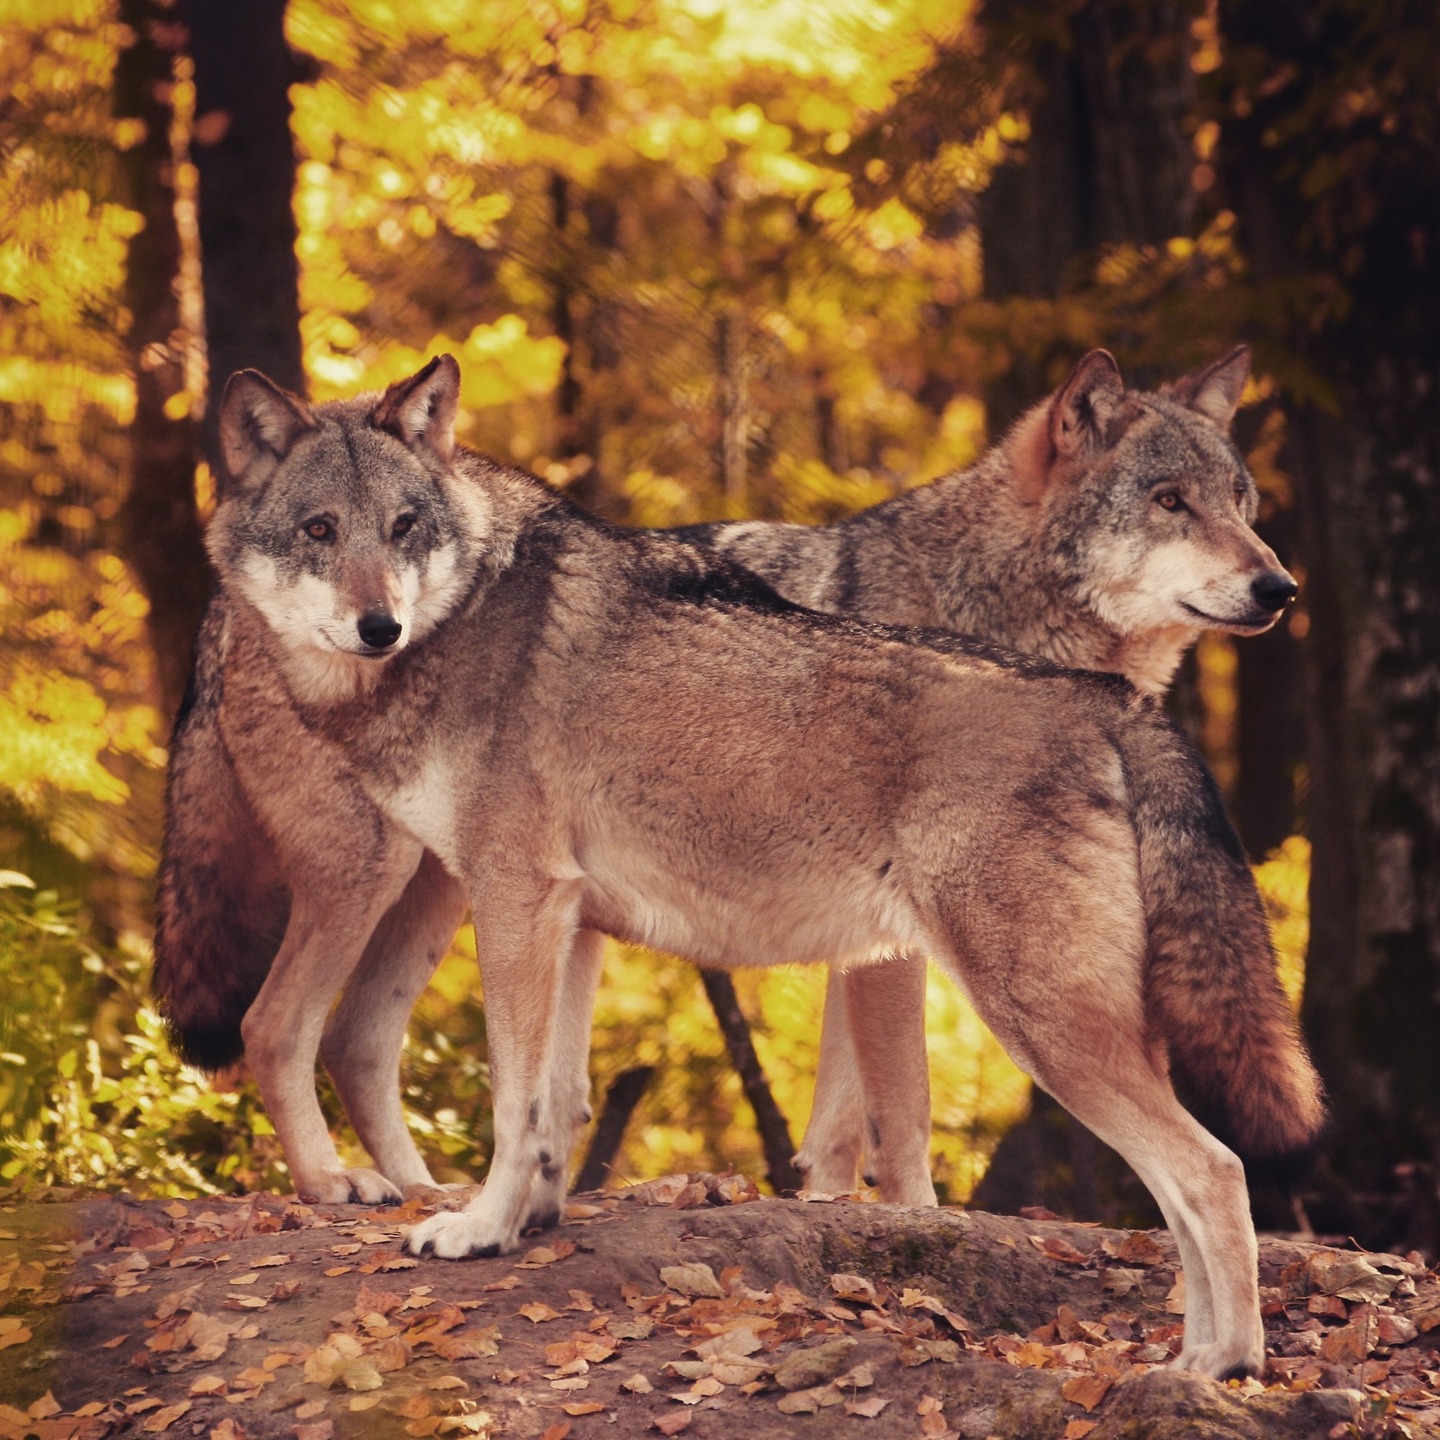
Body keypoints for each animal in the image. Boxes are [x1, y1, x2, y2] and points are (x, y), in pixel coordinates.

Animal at [161, 354, 1321, 1379]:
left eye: (405, 528)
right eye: (320, 530)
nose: (378, 624)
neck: (465, 619)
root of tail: (1108, 700)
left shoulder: (528, 901)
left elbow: (520, 1100)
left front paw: (482, 1229)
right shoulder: (566, 916)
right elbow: (558, 1105)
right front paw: (524, 1219)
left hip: (1040, 1019)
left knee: (1211, 1170)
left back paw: (1217, 1368)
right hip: (391, 883)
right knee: (313, 1028)